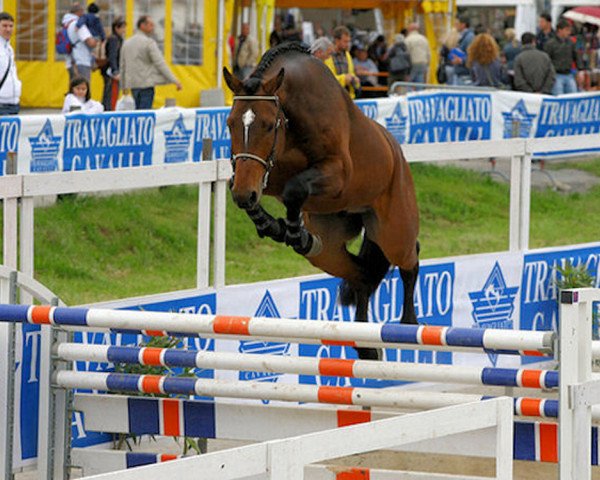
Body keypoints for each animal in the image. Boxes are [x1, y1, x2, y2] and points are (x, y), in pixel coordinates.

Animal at [223, 44, 420, 360]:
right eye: (230, 123)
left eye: (268, 126)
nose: (244, 194)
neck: (292, 111)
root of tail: (397, 152)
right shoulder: (262, 173)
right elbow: (250, 188)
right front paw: (275, 227)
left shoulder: (338, 175)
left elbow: (294, 190)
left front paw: (293, 231)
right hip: (328, 249)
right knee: (361, 275)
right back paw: (366, 346)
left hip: (394, 229)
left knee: (409, 261)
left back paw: (409, 326)